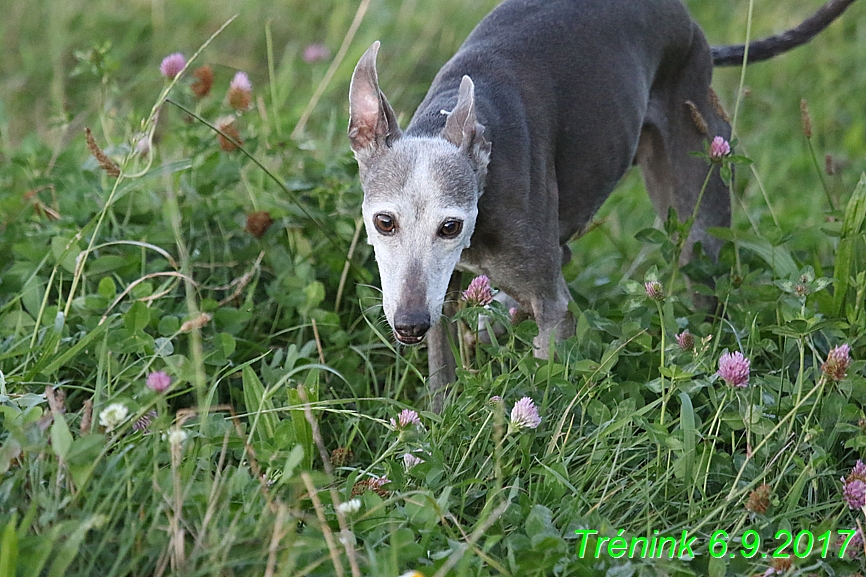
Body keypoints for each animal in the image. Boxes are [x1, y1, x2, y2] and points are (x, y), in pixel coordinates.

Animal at [348, 0, 852, 404]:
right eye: (384, 222)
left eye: (450, 226)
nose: (409, 325)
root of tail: (689, 23)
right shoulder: (442, 297)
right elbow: (442, 367)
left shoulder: (551, 305)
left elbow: (546, 374)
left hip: (697, 186)